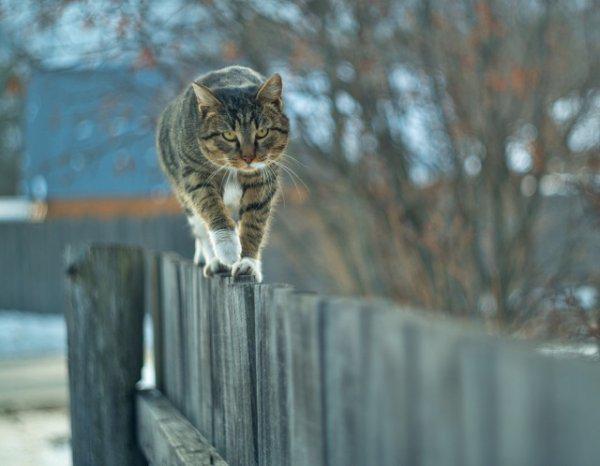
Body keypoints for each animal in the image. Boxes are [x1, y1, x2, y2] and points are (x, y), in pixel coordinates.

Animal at [155, 65, 288, 282]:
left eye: (262, 132)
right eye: (229, 135)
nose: (248, 157)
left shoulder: (262, 178)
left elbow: (253, 221)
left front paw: (248, 262)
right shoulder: (195, 175)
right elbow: (211, 206)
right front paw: (227, 248)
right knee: (200, 228)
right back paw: (214, 261)